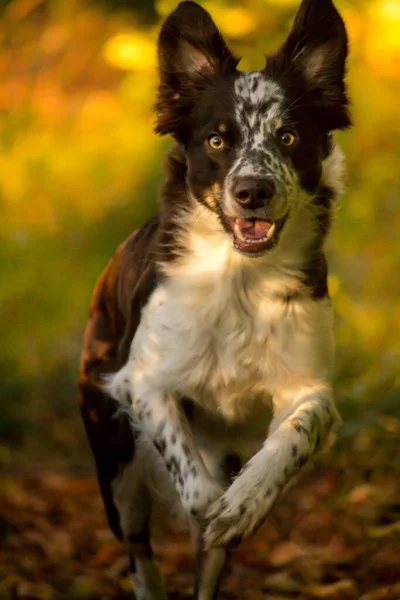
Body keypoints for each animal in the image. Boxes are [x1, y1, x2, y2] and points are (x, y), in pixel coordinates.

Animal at [79, 1, 352, 596]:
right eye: (217, 141)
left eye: (288, 137)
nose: (253, 191)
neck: (241, 279)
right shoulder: (141, 381)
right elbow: (197, 490)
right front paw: (212, 508)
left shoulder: (307, 387)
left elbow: (296, 432)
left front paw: (245, 503)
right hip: (115, 467)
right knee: (139, 552)